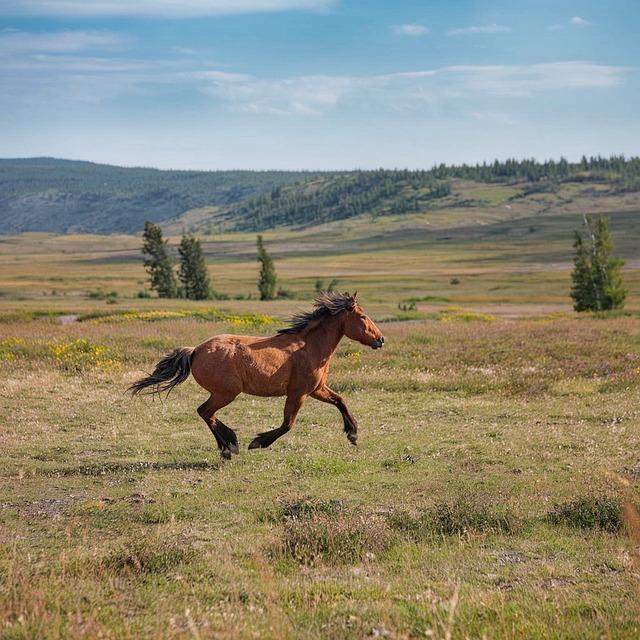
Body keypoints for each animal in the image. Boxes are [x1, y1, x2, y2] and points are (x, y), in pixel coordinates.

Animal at [127, 292, 382, 458]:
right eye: (362, 317)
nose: (381, 339)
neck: (309, 347)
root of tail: (196, 350)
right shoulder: (298, 393)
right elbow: (288, 424)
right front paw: (258, 442)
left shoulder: (316, 389)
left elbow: (340, 401)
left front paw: (353, 433)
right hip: (226, 393)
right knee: (205, 412)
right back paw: (229, 447)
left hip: (224, 393)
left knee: (206, 413)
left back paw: (228, 445)